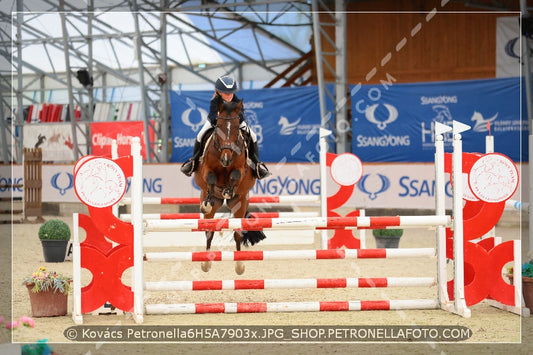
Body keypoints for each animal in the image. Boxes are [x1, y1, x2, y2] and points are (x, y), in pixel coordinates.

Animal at [193, 99, 264, 276]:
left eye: (237, 126)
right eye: (218, 125)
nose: (226, 159)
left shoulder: (241, 169)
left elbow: (236, 175)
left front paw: (228, 190)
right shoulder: (207, 169)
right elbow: (211, 177)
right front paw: (210, 199)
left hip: (239, 205)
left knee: (238, 233)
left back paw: (239, 265)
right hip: (213, 207)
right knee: (209, 232)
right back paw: (206, 263)